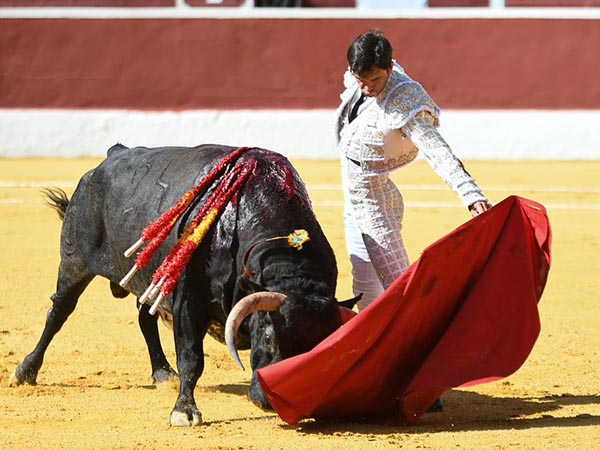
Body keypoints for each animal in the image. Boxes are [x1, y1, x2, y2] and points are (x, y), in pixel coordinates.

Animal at [10, 144, 356, 426]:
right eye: (269, 337)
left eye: (320, 347)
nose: (271, 401)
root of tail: (109, 157)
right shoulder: (189, 299)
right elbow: (191, 357)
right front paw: (185, 411)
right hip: (74, 262)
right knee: (59, 312)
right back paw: (25, 372)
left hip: (152, 279)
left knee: (144, 318)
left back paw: (163, 374)